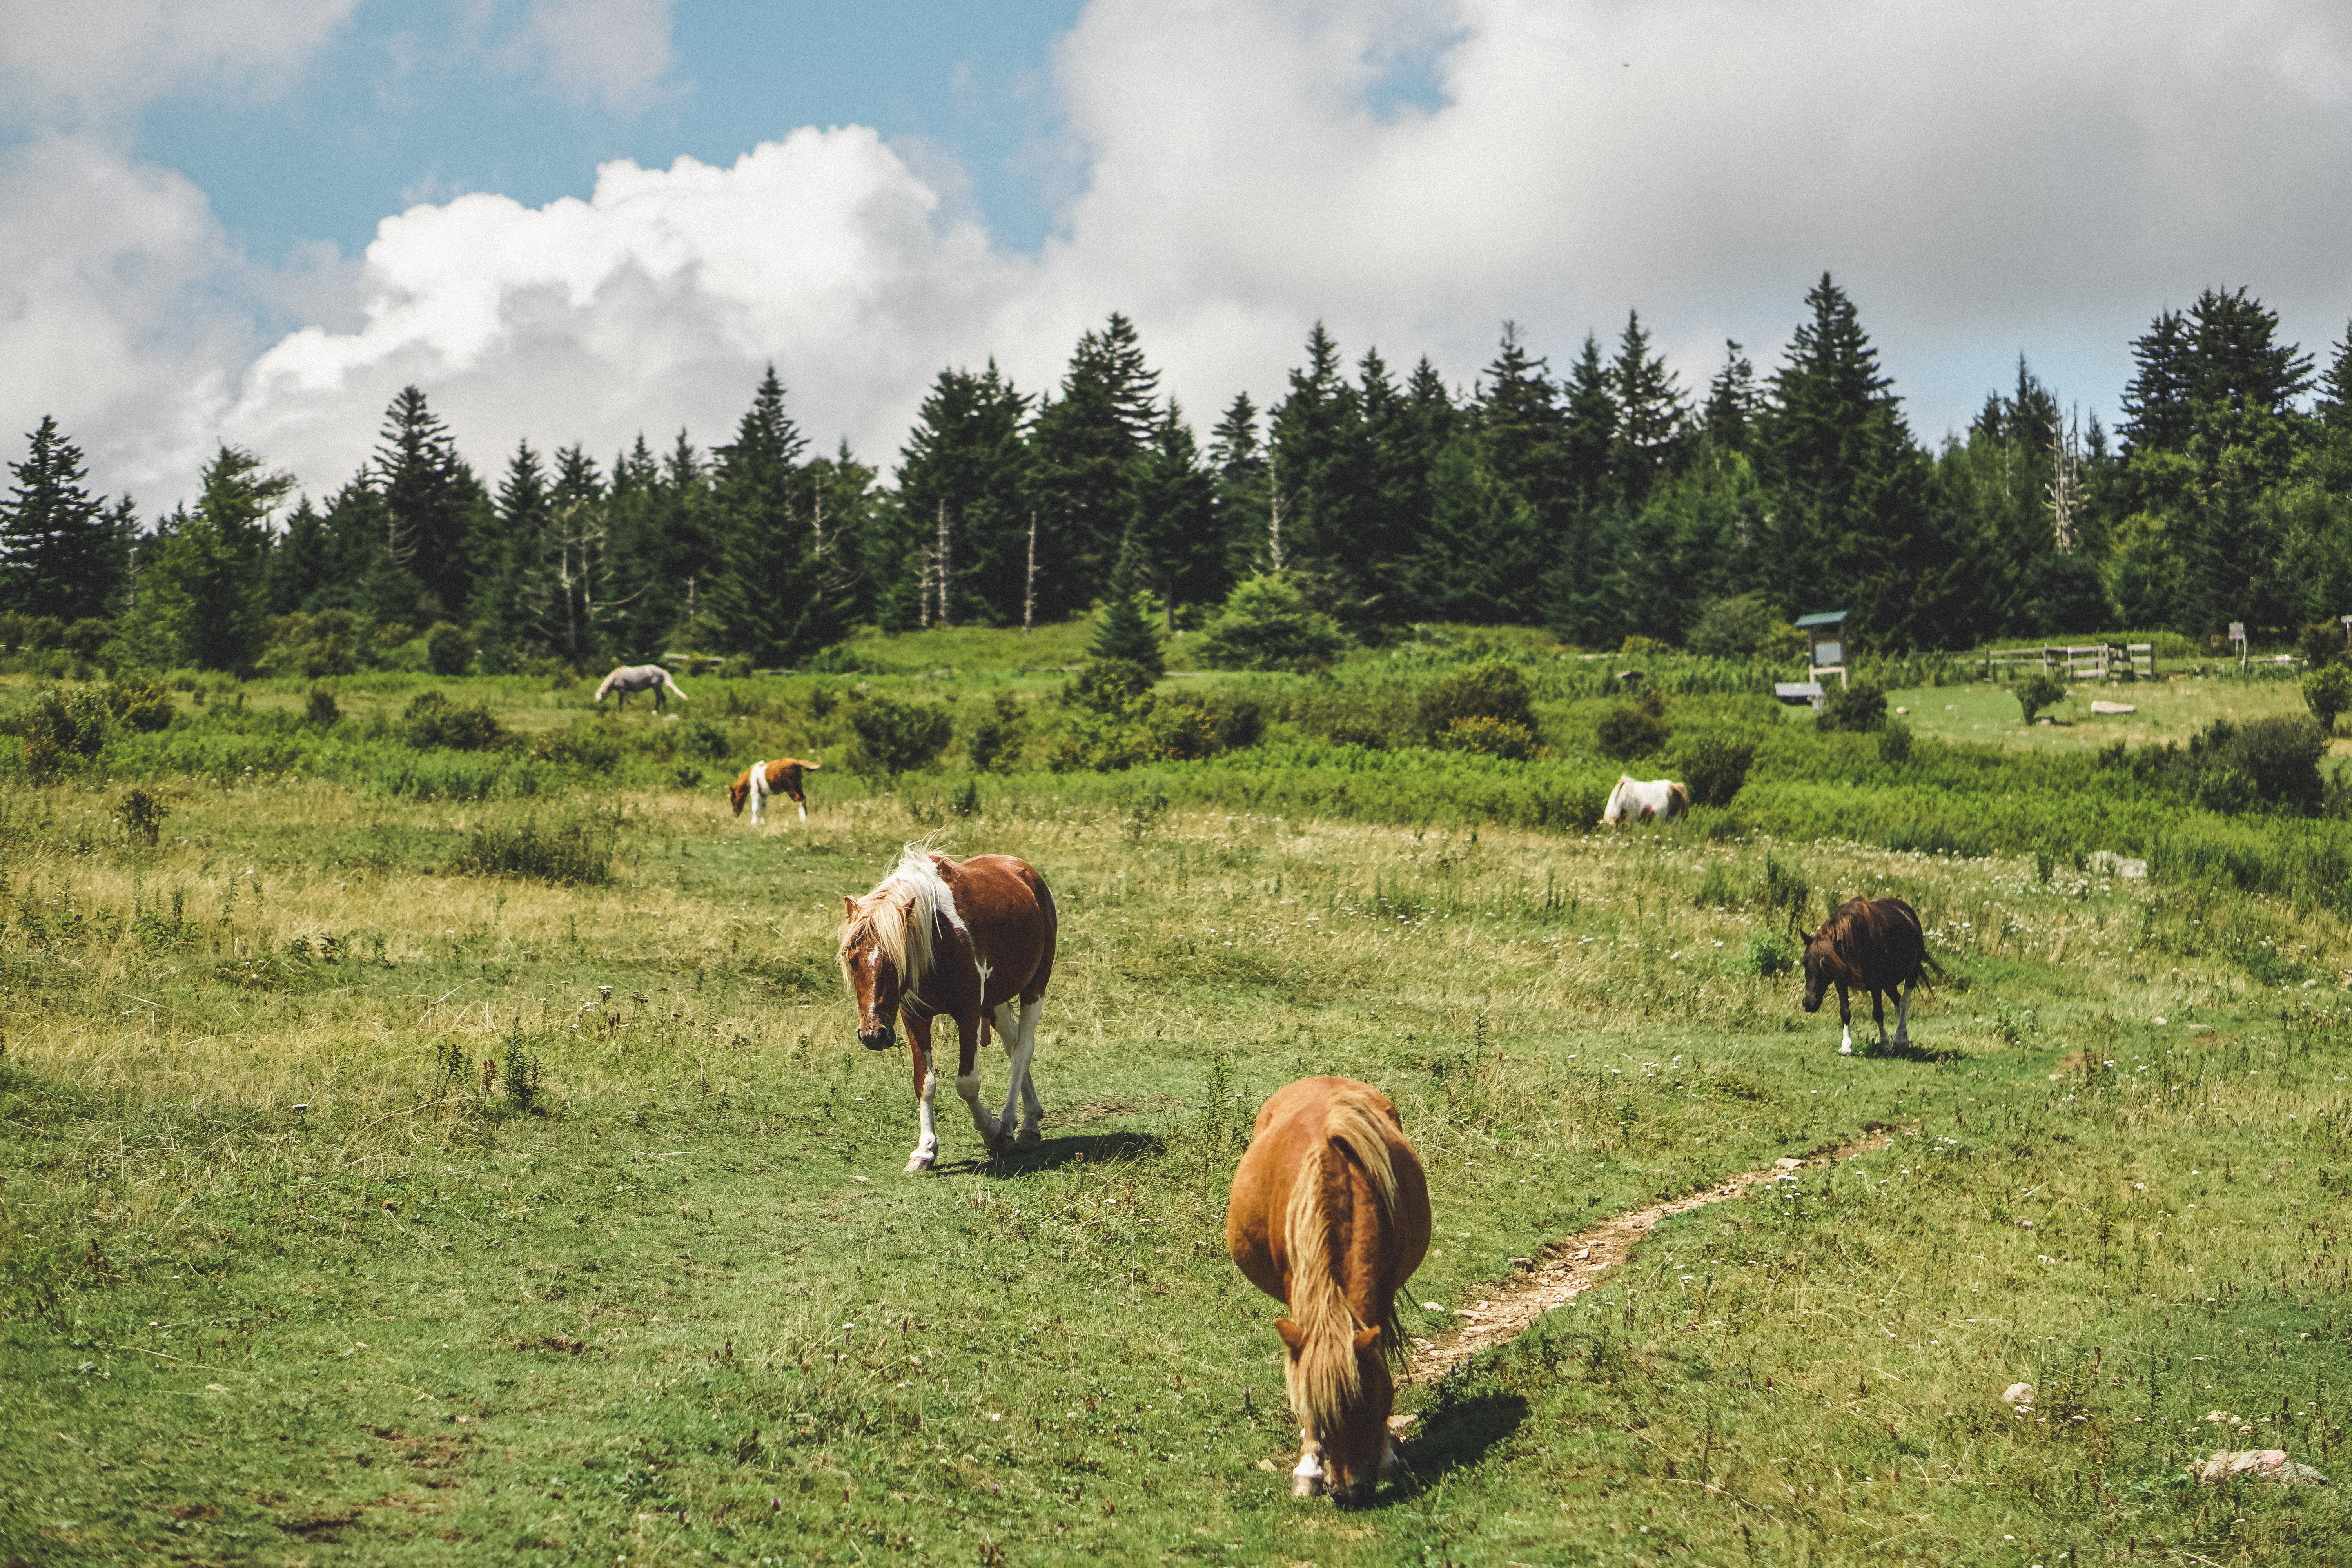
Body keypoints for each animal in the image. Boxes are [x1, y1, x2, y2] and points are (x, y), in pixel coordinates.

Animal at [595, 664, 688, 712]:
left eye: (600, 700)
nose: (599, 707)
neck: (615, 678)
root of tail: (662, 671)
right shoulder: (621, 691)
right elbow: (622, 701)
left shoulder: (623, 690)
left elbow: (626, 701)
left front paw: (629, 710)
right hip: (658, 687)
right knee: (664, 697)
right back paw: (665, 711)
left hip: (656, 687)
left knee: (659, 698)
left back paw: (656, 711)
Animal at [730, 757, 821, 824]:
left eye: (732, 799)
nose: (734, 815)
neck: (751, 775)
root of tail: (796, 763)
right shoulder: (764, 794)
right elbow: (763, 808)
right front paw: (763, 823)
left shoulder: (755, 792)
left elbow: (755, 808)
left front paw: (754, 824)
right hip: (798, 786)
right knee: (804, 799)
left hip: (790, 789)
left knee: (798, 800)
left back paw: (803, 821)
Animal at [838, 842, 1057, 1173]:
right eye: (852, 960)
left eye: (896, 961)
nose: (873, 1035)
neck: (938, 943)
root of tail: (1026, 871)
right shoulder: (915, 1018)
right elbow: (925, 1083)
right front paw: (925, 1150)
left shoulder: (968, 1014)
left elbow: (967, 1084)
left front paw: (992, 1131)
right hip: (996, 1003)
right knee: (1013, 1042)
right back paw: (1030, 1117)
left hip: (1035, 988)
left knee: (1022, 1050)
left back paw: (1012, 1123)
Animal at [1227, 1077, 1431, 1502]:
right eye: (1320, 1411)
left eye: (1367, 1405)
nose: (1346, 1490)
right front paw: (1308, 1467)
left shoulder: (1382, 1291)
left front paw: (1386, 1454)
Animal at [1799, 896, 1940, 1054]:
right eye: (1804, 962)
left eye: (1826, 965)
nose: (1810, 1004)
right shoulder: (1840, 981)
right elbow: (1845, 1012)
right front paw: (1846, 1046)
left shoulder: (1876, 984)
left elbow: (1878, 1013)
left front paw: (1885, 1044)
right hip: (1889, 983)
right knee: (1898, 1001)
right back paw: (1904, 1037)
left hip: (1911, 973)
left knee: (1904, 1002)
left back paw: (1900, 1040)